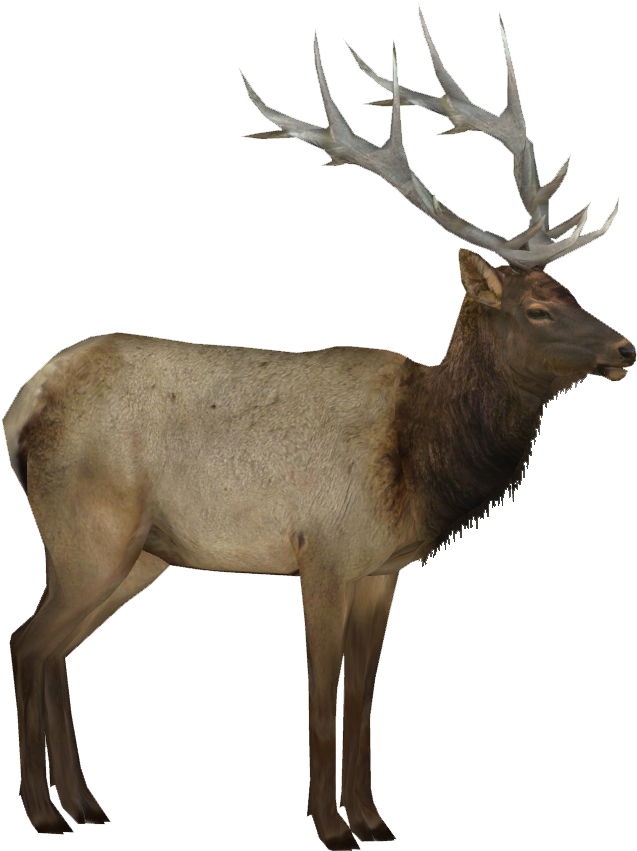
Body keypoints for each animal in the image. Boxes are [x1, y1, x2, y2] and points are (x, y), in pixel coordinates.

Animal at [5, 5, 632, 848]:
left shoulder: (382, 570)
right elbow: (317, 703)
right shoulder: (323, 553)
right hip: (88, 534)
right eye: (537, 309)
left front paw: (373, 821)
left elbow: (362, 700)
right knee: (29, 642)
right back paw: (45, 812)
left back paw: (85, 803)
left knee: (55, 648)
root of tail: (23, 404)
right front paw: (331, 829)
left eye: (570, 291)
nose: (625, 349)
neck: (418, 460)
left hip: (133, 555)